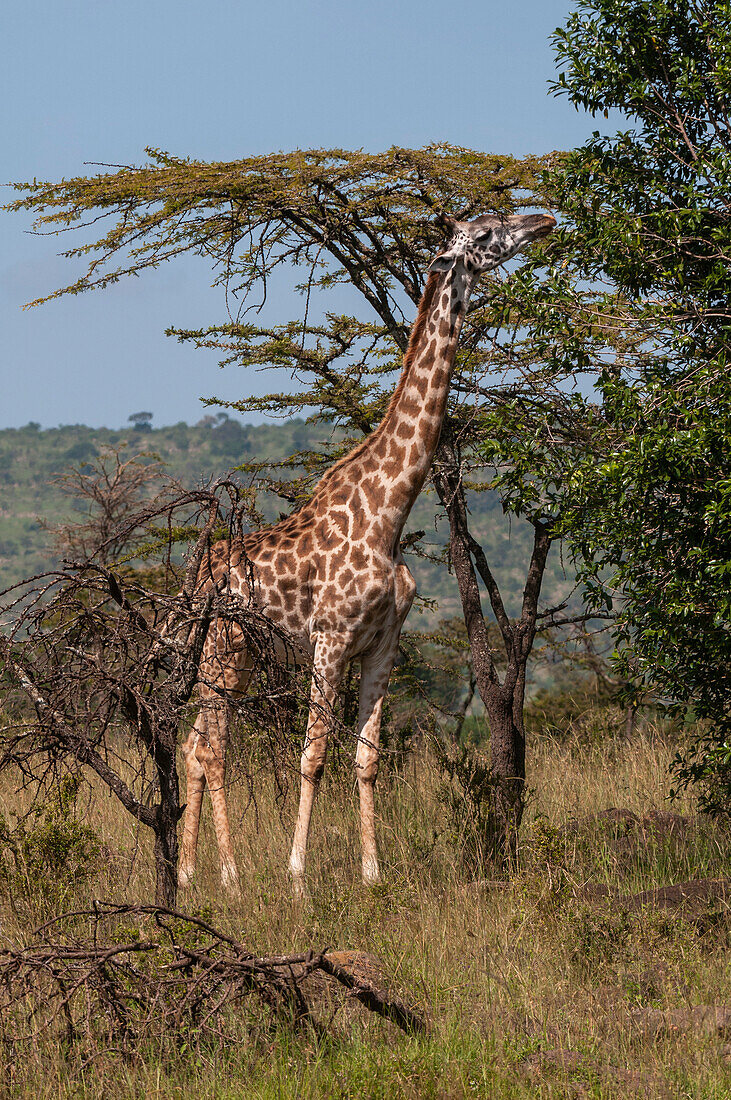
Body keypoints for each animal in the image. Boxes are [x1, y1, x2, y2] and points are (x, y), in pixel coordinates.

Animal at [179, 210, 556, 897]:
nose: (542, 219)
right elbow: (312, 755)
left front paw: (373, 875)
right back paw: (233, 878)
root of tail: (200, 573)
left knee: (194, 745)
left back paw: (193, 875)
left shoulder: (383, 645)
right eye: (486, 234)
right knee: (213, 747)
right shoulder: (330, 640)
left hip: (230, 659)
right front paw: (298, 878)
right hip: (223, 648)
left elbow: (366, 758)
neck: (389, 514)